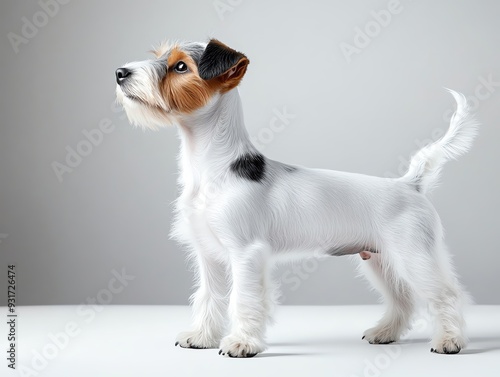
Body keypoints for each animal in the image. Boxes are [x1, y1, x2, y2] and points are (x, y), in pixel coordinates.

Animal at [115, 39, 478, 356]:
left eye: (180, 66)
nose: (120, 72)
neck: (212, 168)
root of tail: (410, 184)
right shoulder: (210, 256)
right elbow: (210, 297)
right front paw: (202, 337)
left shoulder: (245, 254)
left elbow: (242, 299)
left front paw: (242, 343)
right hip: (381, 259)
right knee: (403, 299)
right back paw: (385, 332)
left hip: (414, 256)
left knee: (446, 295)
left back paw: (450, 341)